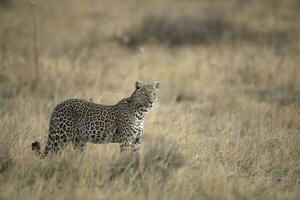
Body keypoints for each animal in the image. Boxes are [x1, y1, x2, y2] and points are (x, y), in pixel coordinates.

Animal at [31, 80, 159, 158]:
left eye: (154, 94)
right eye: (145, 94)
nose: (151, 102)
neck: (141, 114)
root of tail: (57, 106)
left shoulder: (136, 141)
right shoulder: (126, 140)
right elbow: (125, 156)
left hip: (79, 141)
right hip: (59, 137)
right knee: (50, 155)